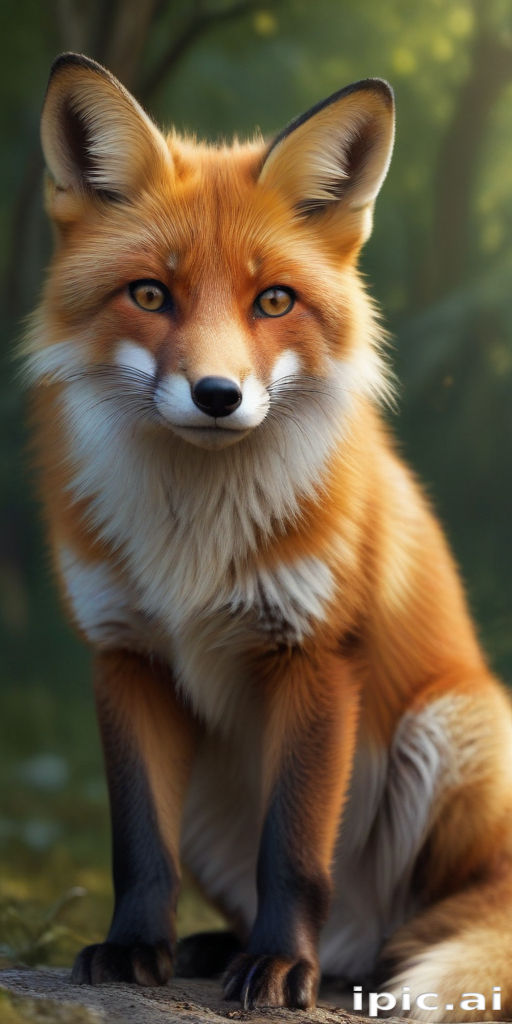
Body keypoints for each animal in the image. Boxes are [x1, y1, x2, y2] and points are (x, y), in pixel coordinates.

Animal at [23, 51, 512, 1020]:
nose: (218, 395)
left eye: (274, 300)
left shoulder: (316, 652)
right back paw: (217, 947)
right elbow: (139, 844)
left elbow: (293, 851)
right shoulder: (125, 653)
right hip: (216, 801)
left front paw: (283, 968)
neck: (194, 540)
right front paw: (135, 950)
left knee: (425, 925)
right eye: (151, 294)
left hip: (455, 728)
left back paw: (341, 964)